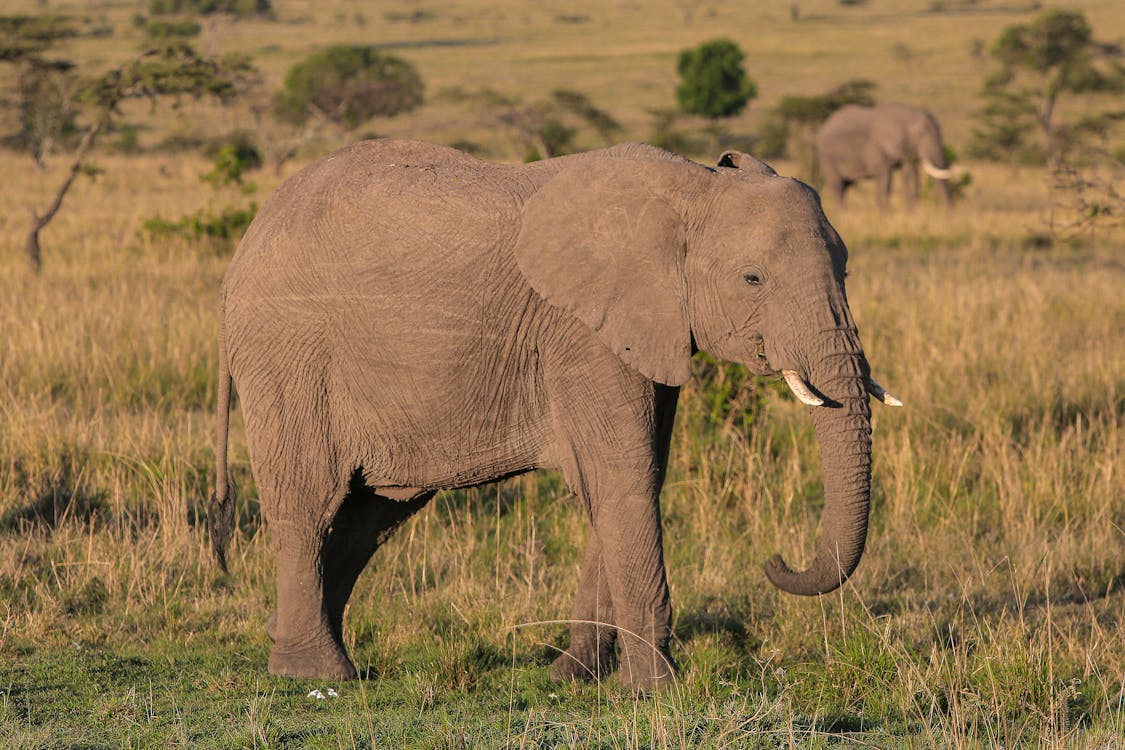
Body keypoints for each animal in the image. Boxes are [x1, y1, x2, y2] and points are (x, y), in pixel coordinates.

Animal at [207, 139, 900, 692]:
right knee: (310, 501)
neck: (692, 187)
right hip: (289, 355)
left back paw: (289, 642)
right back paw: (316, 673)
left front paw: (574, 677)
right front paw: (655, 690)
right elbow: (623, 477)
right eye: (753, 279)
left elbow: (631, 478)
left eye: (846, 269)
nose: (775, 561)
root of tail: (242, 250)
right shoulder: (582, 333)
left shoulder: (644, 326)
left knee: (370, 515)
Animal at [814, 102, 963, 208]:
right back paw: (843, 213)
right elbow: (885, 180)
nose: (950, 213)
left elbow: (910, 178)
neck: (907, 115)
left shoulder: (905, 148)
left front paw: (912, 214)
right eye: (920, 133)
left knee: (846, 186)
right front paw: (884, 214)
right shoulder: (878, 147)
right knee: (837, 186)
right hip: (827, 157)